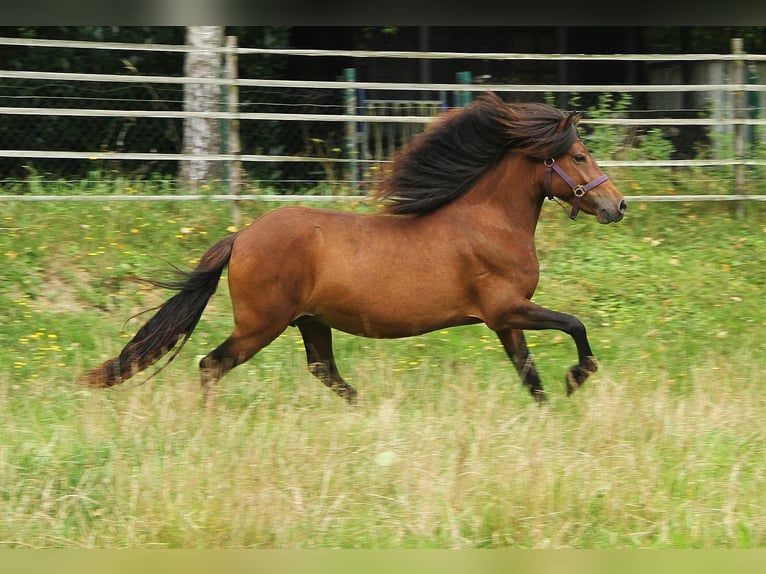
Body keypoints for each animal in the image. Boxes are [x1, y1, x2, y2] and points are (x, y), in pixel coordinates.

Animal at [81, 91, 628, 404]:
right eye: (579, 156)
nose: (617, 205)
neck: (489, 221)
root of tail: (242, 238)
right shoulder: (507, 308)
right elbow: (574, 326)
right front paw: (578, 377)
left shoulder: (504, 320)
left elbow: (529, 374)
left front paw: (551, 409)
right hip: (261, 325)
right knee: (211, 366)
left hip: (310, 322)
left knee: (323, 370)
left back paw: (369, 412)